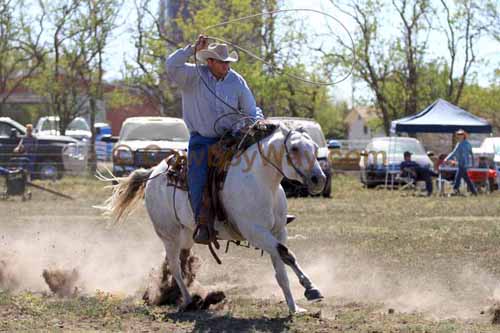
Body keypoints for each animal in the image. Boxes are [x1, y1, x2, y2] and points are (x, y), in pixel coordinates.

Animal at [103, 125, 326, 314]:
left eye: (315, 147)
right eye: (294, 148)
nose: (319, 179)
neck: (262, 182)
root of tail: (153, 172)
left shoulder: (278, 231)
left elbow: (282, 272)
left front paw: (295, 307)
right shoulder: (255, 232)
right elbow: (287, 254)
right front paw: (311, 288)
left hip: (186, 233)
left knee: (180, 261)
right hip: (168, 233)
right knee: (175, 265)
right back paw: (188, 300)